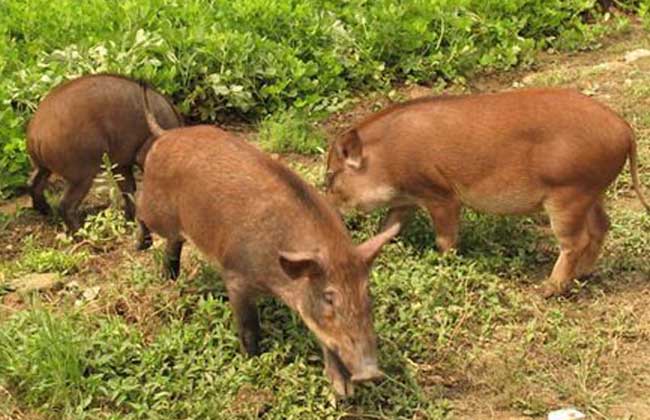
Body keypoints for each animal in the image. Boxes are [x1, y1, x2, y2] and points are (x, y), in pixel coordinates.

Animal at [25, 74, 182, 231]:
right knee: (65, 205)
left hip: (42, 166)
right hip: (82, 176)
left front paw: (130, 220)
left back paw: (46, 212)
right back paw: (81, 233)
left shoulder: (121, 163)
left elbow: (128, 188)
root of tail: (36, 135)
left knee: (33, 184)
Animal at [135, 88, 394, 398]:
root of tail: (166, 135)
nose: (371, 372)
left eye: (368, 293)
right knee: (140, 211)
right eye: (329, 297)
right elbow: (248, 326)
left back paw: (170, 278)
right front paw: (252, 360)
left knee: (173, 244)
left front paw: (342, 394)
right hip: (156, 208)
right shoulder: (235, 275)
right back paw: (141, 246)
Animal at [324, 88, 648, 296]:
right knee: (602, 226)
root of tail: (624, 129)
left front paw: (443, 263)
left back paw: (546, 290)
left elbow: (445, 239)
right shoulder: (407, 200)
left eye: (330, 176)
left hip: (569, 193)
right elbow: (389, 227)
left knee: (576, 241)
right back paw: (583, 274)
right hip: (593, 191)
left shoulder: (440, 194)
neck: (387, 159)